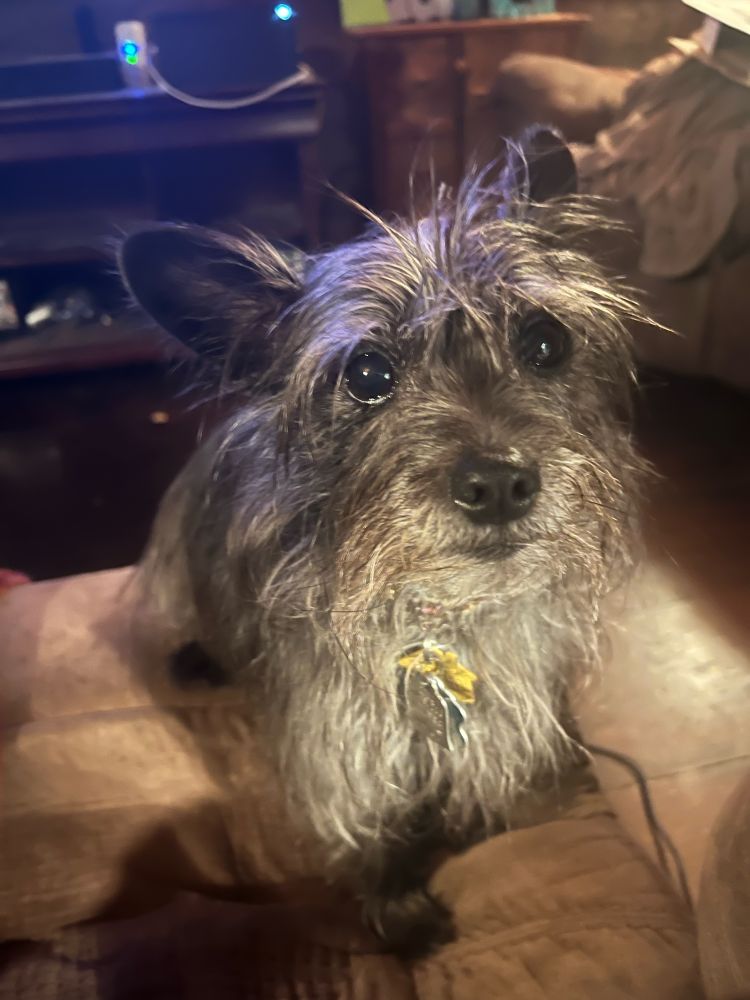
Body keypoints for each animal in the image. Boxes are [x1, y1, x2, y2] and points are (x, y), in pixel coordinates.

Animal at [119, 127, 644, 957]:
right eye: (368, 372)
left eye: (545, 341)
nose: (500, 483)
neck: (439, 619)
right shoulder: (344, 758)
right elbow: (376, 840)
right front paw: (400, 910)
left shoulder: (496, 735)